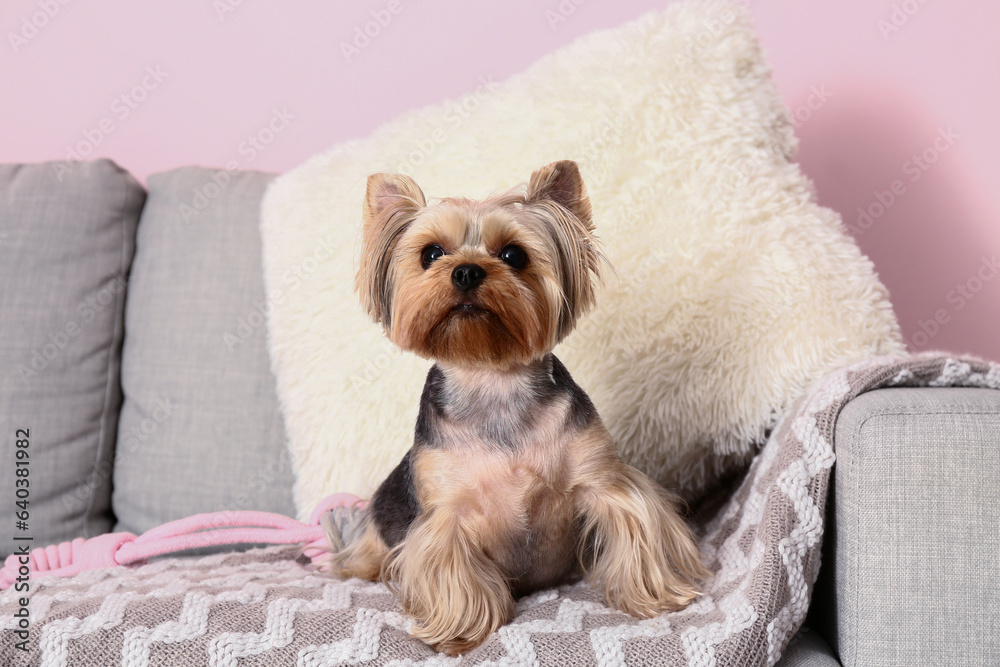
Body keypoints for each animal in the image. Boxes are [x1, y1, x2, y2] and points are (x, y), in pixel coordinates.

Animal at [332, 160, 708, 652]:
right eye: (431, 253)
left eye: (513, 255)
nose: (467, 272)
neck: (494, 379)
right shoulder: (445, 514)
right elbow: (452, 570)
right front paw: (460, 631)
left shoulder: (604, 480)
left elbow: (634, 526)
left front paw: (655, 596)